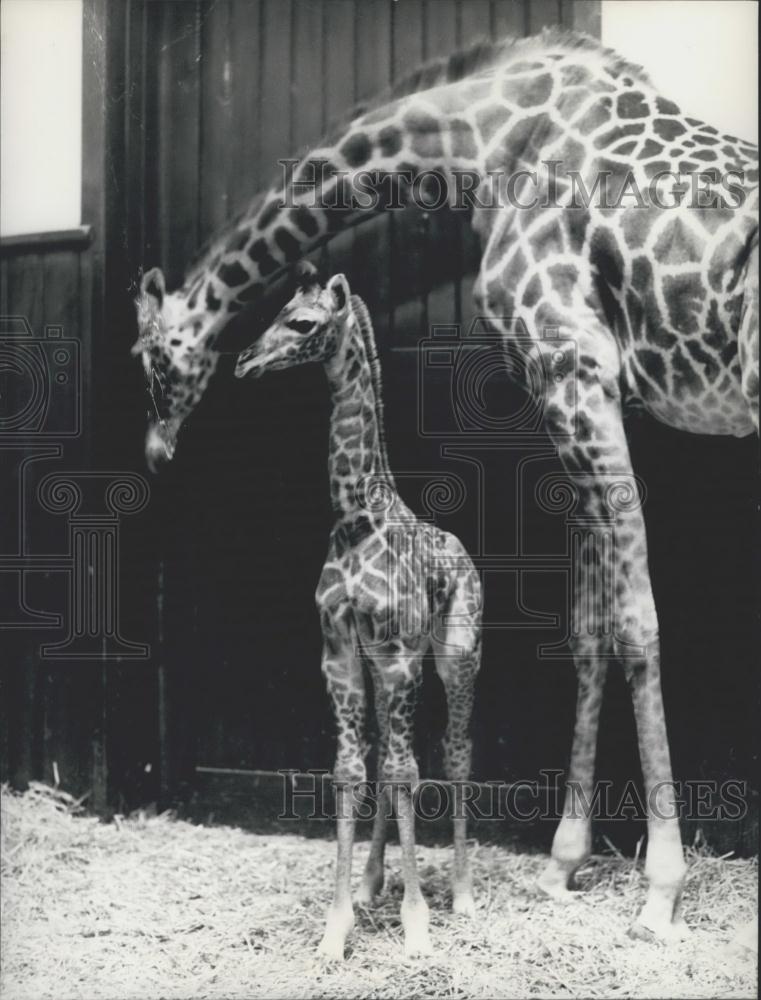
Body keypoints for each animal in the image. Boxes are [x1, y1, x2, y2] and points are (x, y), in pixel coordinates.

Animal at [235, 266, 480, 960]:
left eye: (303, 323)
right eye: (277, 310)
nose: (244, 360)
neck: (356, 518)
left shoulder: (398, 657)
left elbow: (405, 769)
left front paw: (417, 921)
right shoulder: (341, 652)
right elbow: (353, 769)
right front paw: (338, 923)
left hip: (456, 655)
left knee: (453, 752)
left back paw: (462, 893)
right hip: (389, 665)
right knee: (393, 756)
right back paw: (374, 882)